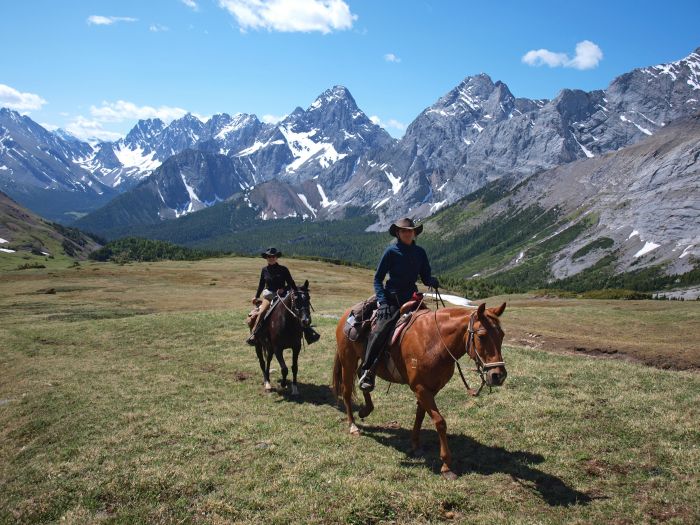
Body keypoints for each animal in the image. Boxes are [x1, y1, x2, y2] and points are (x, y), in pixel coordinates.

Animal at [330, 300, 506, 476]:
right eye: (481, 336)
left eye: (502, 335)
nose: (498, 375)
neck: (435, 341)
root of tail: (346, 314)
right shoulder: (420, 388)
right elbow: (440, 422)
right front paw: (446, 465)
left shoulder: (430, 389)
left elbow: (420, 416)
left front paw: (415, 445)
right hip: (348, 361)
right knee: (346, 392)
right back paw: (353, 426)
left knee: (363, 376)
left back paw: (365, 409)